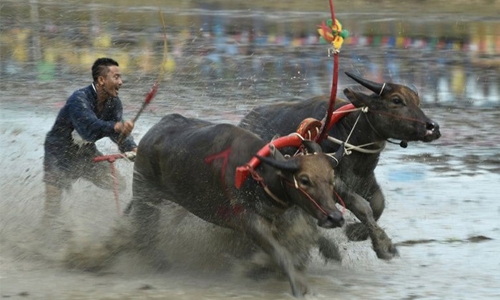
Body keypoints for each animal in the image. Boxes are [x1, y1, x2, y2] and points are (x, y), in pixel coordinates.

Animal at [127, 113, 348, 296]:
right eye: (304, 180)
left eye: (331, 178)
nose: (335, 217)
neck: (257, 175)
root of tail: (150, 136)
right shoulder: (249, 222)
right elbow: (281, 253)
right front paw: (298, 285)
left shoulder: (279, 217)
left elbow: (311, 236)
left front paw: (331, 250)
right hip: (144, 195)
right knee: (143, 230)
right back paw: (156, 261)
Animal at [239, 72, 442, 260]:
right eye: (397, 100)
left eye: (417, 101)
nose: (433, 127)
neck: (350, 134)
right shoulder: (330, 180)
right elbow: (361, 205)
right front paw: (383, 246)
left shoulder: (364, 179)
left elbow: (378, 203)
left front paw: (357, 232)